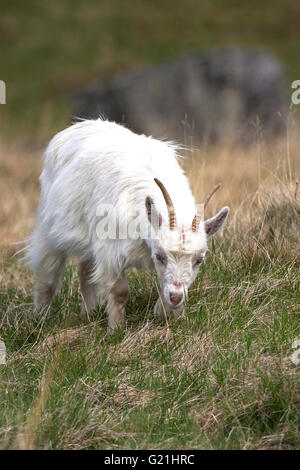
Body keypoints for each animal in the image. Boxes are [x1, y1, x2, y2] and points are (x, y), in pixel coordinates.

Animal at [27, 119, 230, 328]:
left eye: (199, 260)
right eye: (160, 256)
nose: (176, 297)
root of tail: (77, 126)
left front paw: (170, 314)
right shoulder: (110, 251)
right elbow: (119, 291)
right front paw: (116, 328)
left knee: (85, 270)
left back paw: (89, 314)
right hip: (49, 226)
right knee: (47, 273)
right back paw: (39, 318)